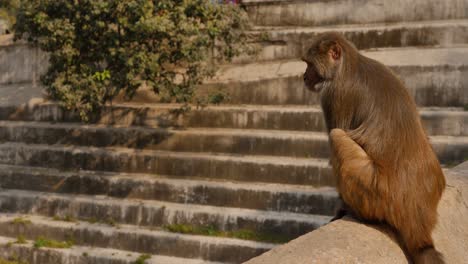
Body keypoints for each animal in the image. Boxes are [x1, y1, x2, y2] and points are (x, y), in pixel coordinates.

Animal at [304, 33, 446, 264]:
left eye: (309, 65)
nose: (304, 76)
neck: (350, 64)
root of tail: (417, 222)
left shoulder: (335, 93)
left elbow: (337, 129)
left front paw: (341, 207)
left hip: (375, 193)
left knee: (337, 137)